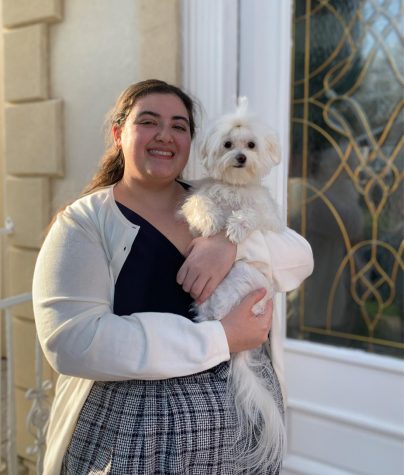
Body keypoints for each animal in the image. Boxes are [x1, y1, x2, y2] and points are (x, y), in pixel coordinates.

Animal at [180, 98, 288, 474]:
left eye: (251, 145)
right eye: (228, 144)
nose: (240, 157)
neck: (236, 187)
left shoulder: (268, 216)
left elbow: (252, 215)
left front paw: (237, 227)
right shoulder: (199, 198)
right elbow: (201, 204)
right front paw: (215, 220)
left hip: (243, 278)